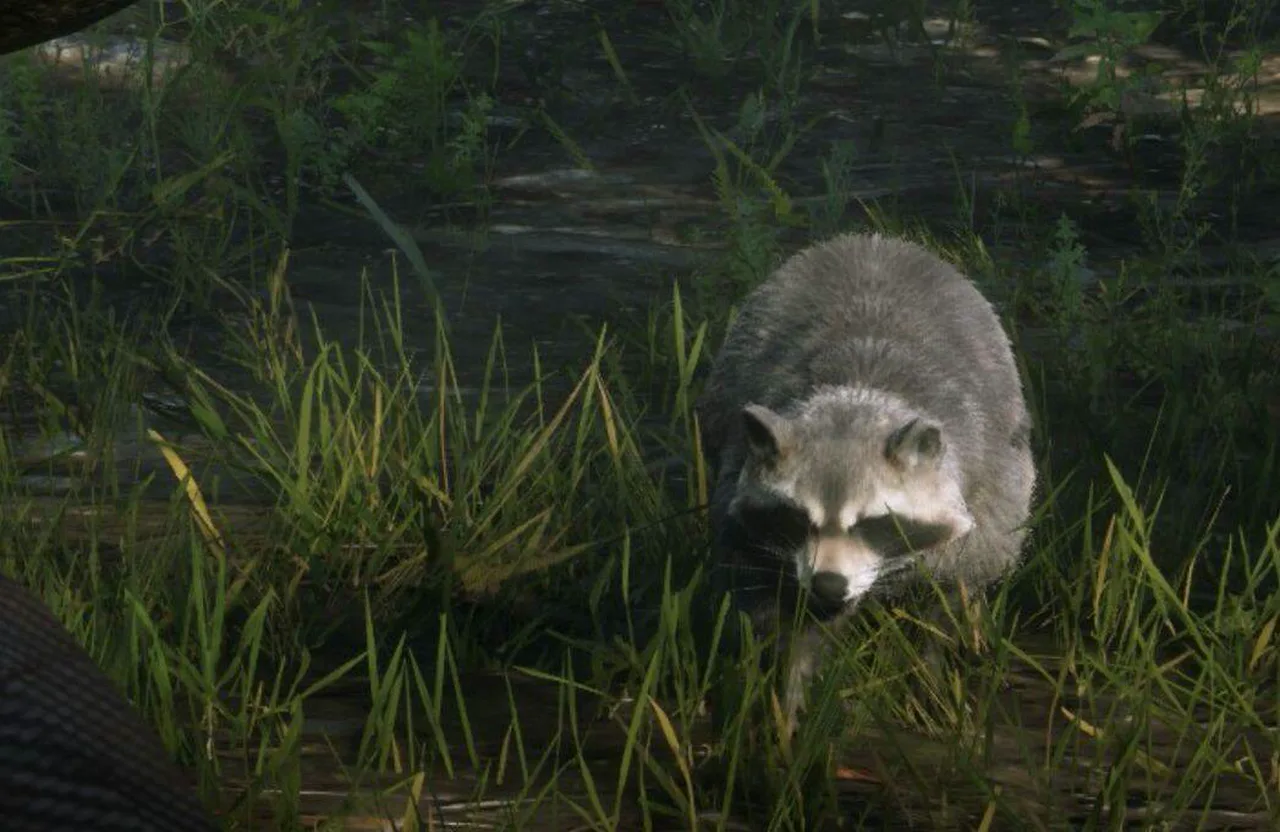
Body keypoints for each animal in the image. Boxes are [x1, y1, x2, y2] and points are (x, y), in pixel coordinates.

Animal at [698, 233, 1036, 730]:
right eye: (799, 518)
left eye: (872, 522)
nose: (828, 585)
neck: (855, 398)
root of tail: (873, 240)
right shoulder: (741, 505)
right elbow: (784, 617)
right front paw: (788, 703)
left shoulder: (985, 483)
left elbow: (951, 598)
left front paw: (932, 677)